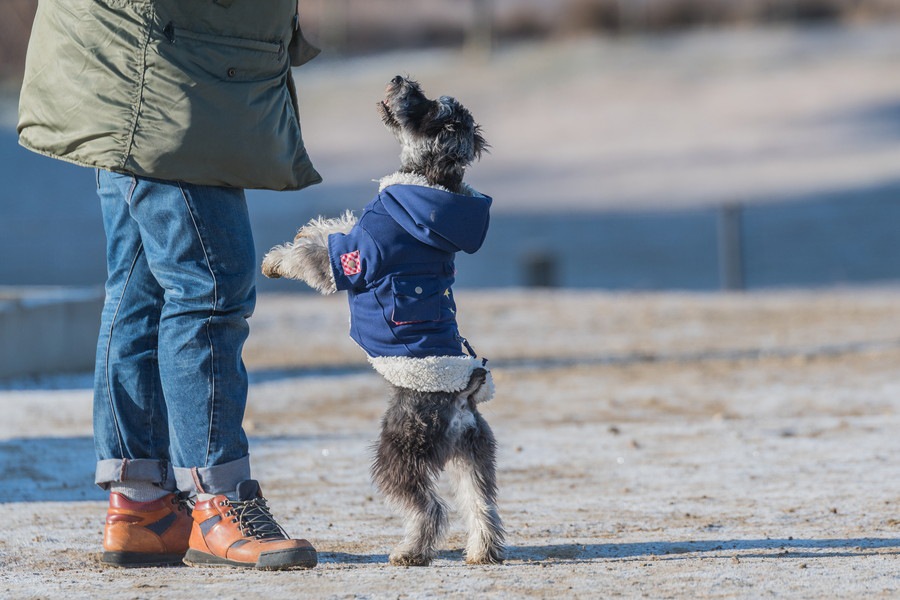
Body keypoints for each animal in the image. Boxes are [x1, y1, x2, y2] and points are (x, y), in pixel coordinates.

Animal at [262, 76, 506, 568]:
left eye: (426, 105)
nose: (401, 80)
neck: (429, 183)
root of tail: (464, 396)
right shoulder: (354, 236)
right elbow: (330, 227)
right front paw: (307, 228)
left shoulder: (352, 258)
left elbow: (312, 256)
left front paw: (275, 261)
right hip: (472, 455)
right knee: (482, 505)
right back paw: (481, 552)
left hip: (398, 453)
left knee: (429, 507)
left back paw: (410, 552)